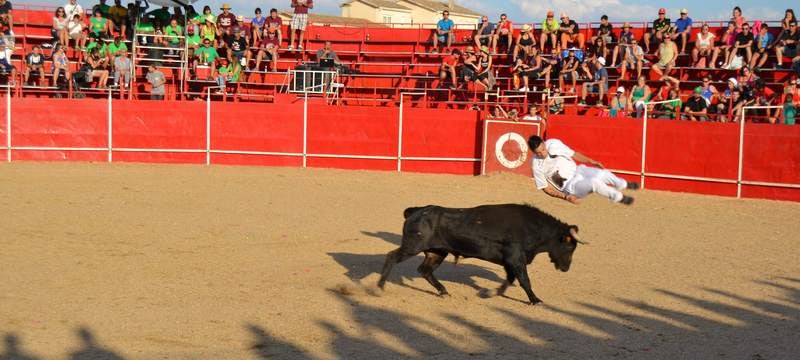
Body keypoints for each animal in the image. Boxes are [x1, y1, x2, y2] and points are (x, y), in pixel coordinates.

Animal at [378, 204, 584, 306]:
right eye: (569, 247)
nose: (566, 268)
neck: (534, 227)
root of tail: (415, 211)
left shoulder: (510, 261)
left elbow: (510, 279)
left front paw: (490, 293)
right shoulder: (516, 258)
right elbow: (524, 280)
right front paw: (535, 300)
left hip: (437, 252)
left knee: (425, 270)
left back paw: (444, 291)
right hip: (413, 246)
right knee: (392, 257)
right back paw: (379, 287)